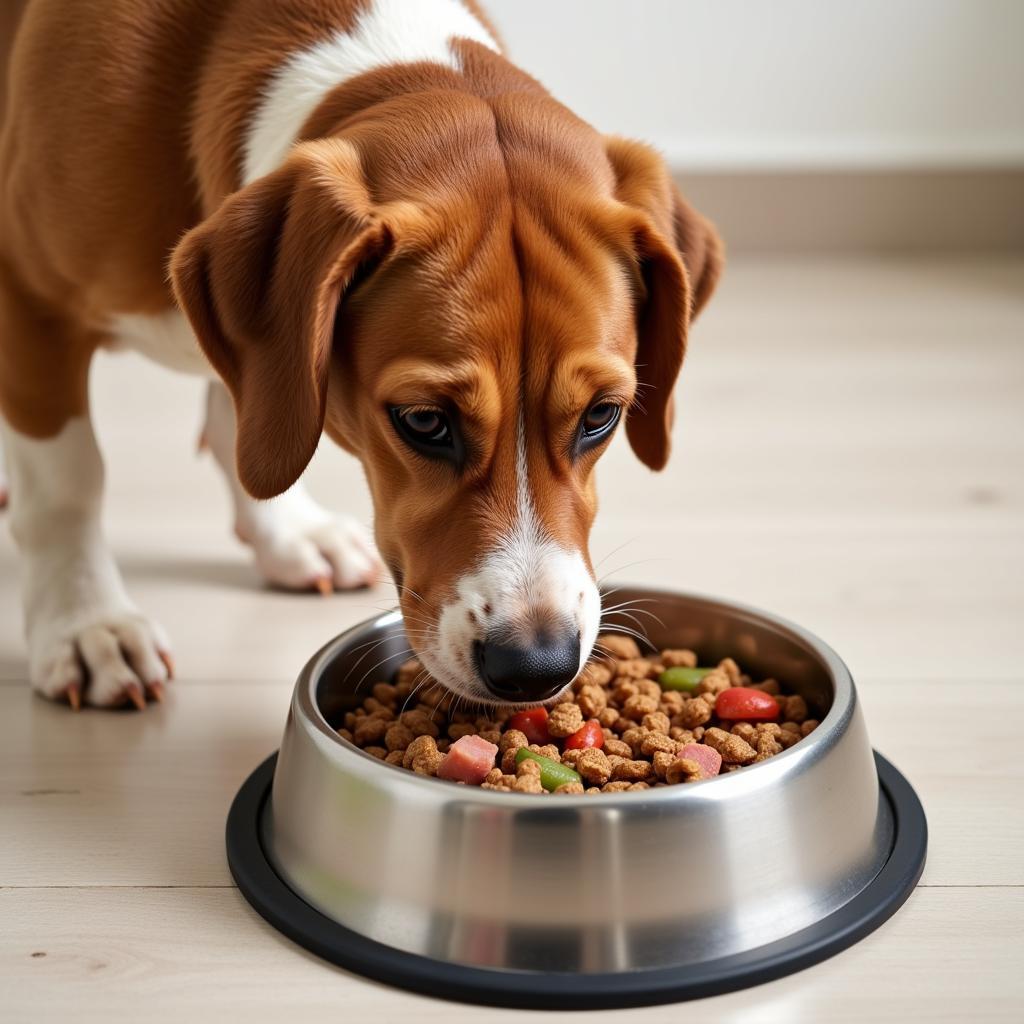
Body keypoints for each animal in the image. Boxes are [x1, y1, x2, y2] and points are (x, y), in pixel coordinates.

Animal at [0, 0, 720, 712]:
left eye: (601, 416)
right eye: (424, 421)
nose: (536, 665)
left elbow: (242, 417)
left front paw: (286, 531)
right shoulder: (29, 302)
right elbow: (69, 482)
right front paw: (87, 624)